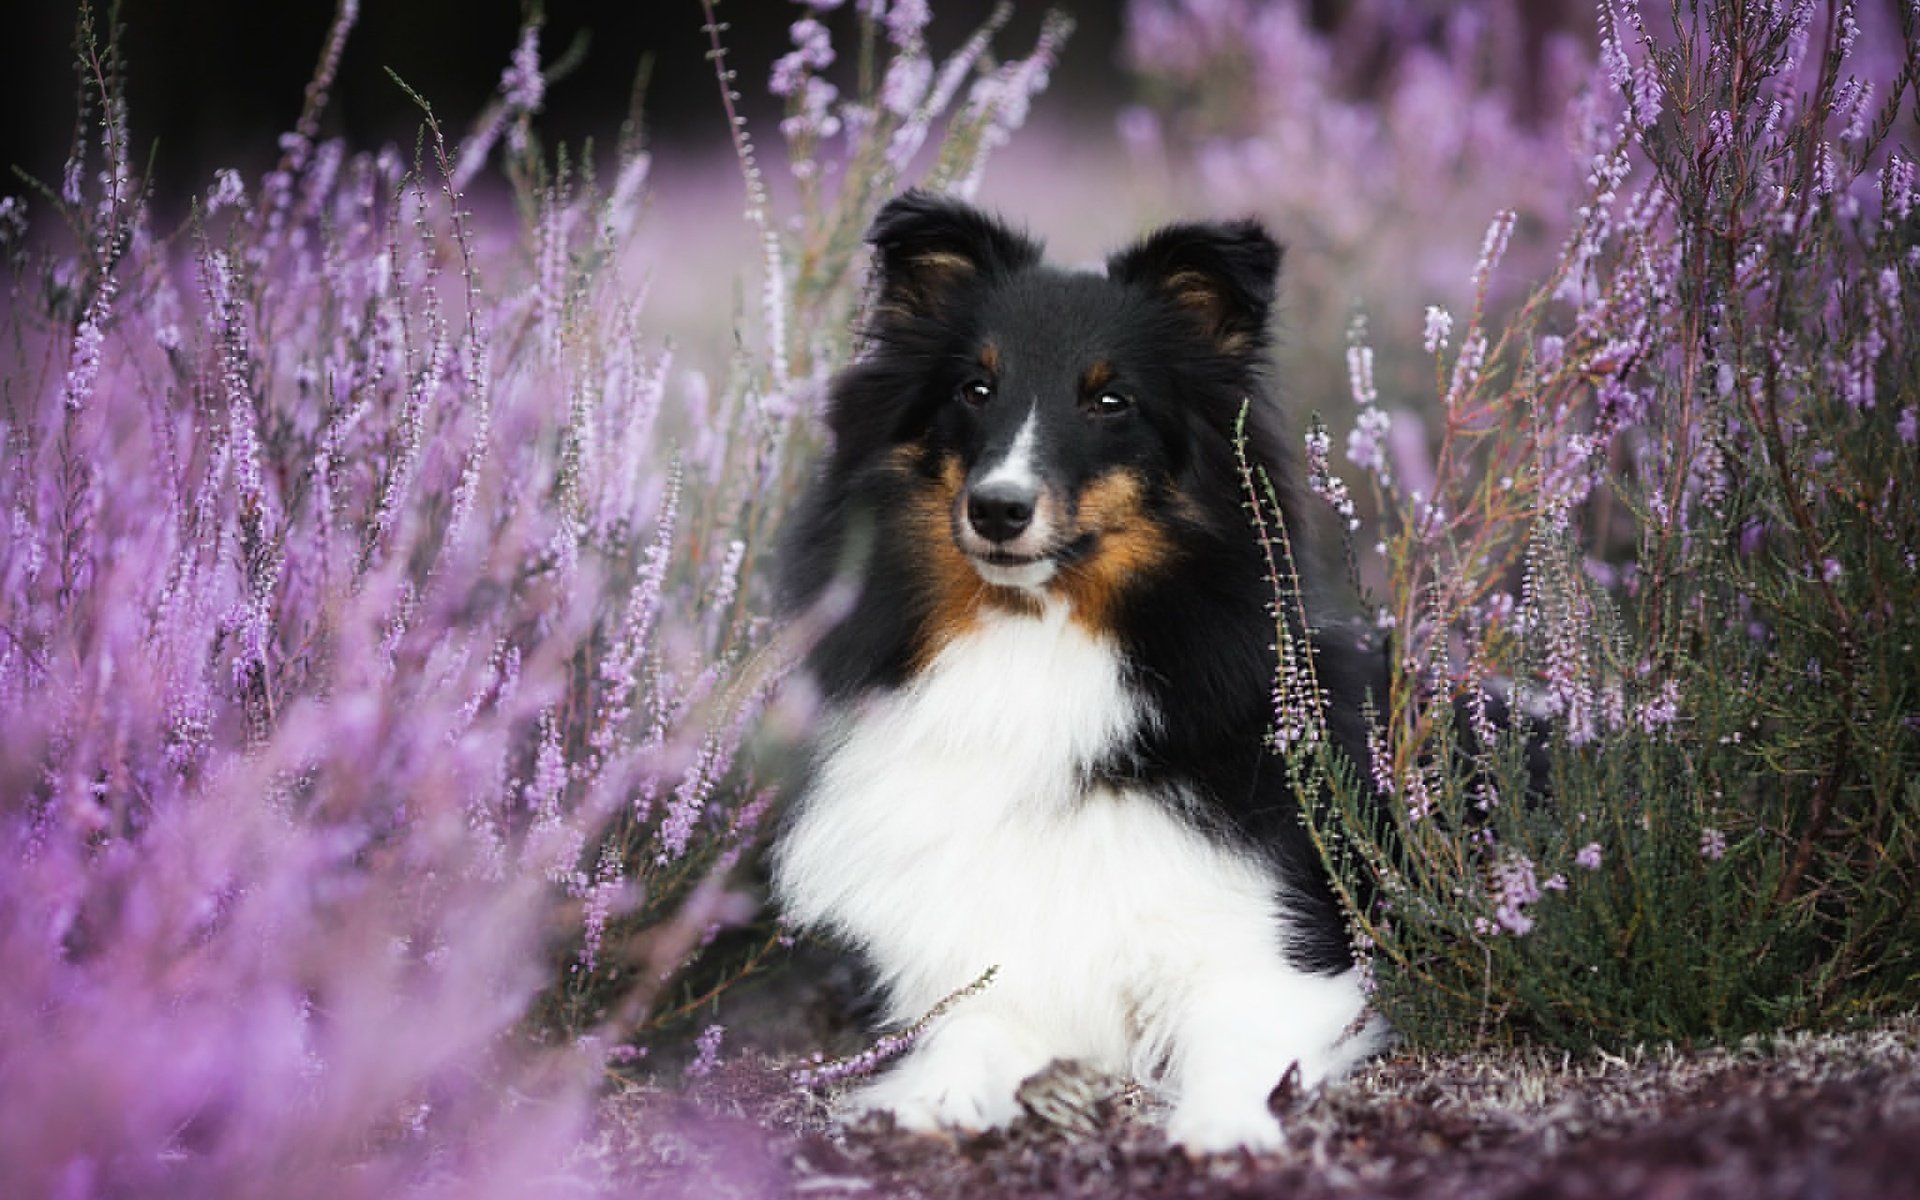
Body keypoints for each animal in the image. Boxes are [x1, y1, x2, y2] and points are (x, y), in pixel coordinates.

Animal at [771, 189, 1390, 1152]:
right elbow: (971, 1038)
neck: (1038, 641)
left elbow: (1237, 1044)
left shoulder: (1273, 956)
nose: (997, 509)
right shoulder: (990, 970)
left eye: (1110, 400)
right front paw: (926, 1104)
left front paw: (1221, 1131)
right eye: (975, 388)